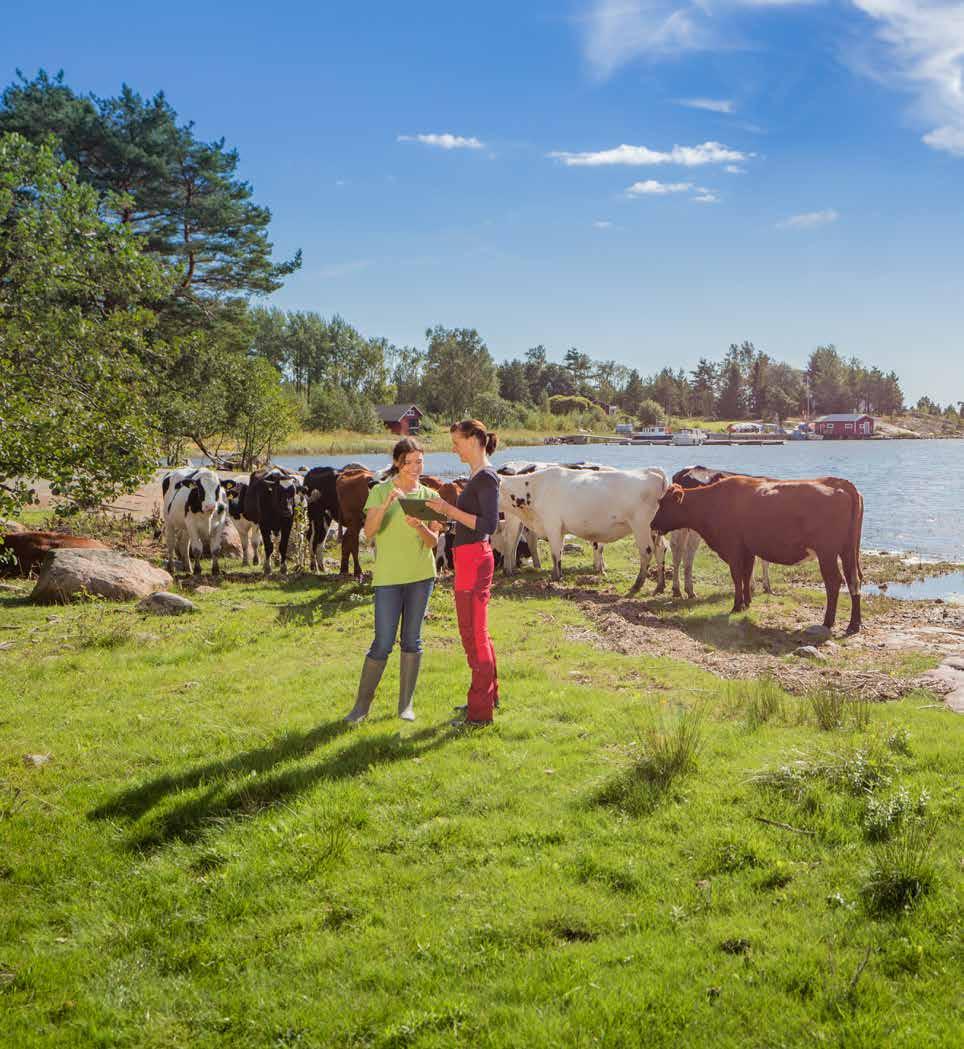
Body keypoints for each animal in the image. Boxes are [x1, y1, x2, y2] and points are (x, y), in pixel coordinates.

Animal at [501, 465, 667, 595]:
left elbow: (555, 553)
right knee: (661, 549)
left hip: (641, 525)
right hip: (655, 529)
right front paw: (557, 575)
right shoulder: (559, 529)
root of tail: (652, 471)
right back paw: (660, 586)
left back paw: (637, 585)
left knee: (647, 551)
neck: (535, 489)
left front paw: (555, 578)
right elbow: (559, 551)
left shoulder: (552, 525)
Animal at [650, 476, 868, 629]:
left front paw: (736, 606)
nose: (652, 524)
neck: (713, 503)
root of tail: (840, 483)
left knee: (834, 582)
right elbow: (747, 575)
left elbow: (737, 576)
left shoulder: (733, 548)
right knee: (854, 580)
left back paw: (828, 621)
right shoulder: (748, 549)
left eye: (663, 504)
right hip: (849, 551)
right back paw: (854, 624)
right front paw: (746, 603)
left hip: (827, 553)